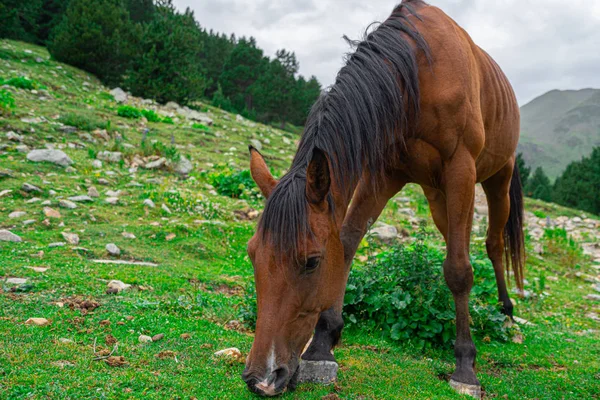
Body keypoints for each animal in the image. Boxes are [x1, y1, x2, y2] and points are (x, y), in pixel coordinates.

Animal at [244, 0, 524, 396]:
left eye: (311, 262)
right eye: (253, 253)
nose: (262, 379)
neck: (417, 75)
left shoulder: (460, 169)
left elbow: (458, 270)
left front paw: (465, 366)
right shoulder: (385, 174)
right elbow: (347, 242)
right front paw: (322, 345)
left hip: (496, 179)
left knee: (493, 244)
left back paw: (506, 311)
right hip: (438, 196)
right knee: (457, 236)